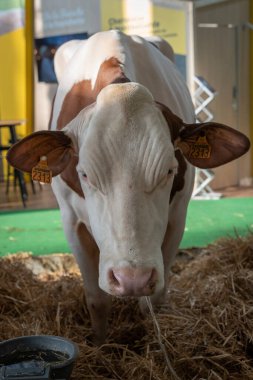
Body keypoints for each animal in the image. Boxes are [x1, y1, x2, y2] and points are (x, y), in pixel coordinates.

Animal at [6, 30, 250, 344]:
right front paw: (100, 345)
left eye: (169, 170)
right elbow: (97, 299)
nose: (132, 279)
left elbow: (153, 301)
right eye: (85, 174)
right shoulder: (71, 221)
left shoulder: (177, 217)